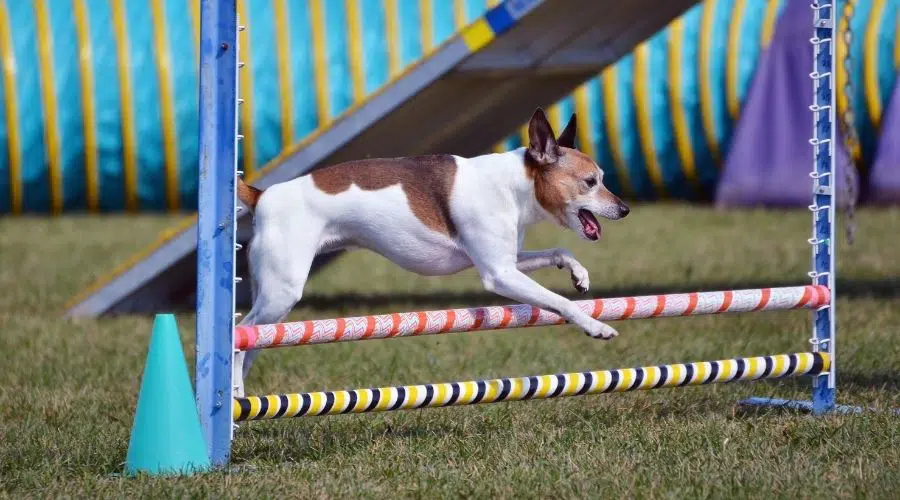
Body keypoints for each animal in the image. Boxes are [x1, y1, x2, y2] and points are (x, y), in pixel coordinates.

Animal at [232, 108, 628, 394]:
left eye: (604, 178)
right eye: (590, 182)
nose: (624, 209)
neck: (515, 184)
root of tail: (262, 196)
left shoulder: (507, 263)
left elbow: (561, 251)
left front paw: (579, 275)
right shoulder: (500, 275)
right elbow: (561, 302)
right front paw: (596, 326)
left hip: (276, 305)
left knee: (254, 342)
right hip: (281, 293)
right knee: (240, 333)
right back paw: (234, 389)